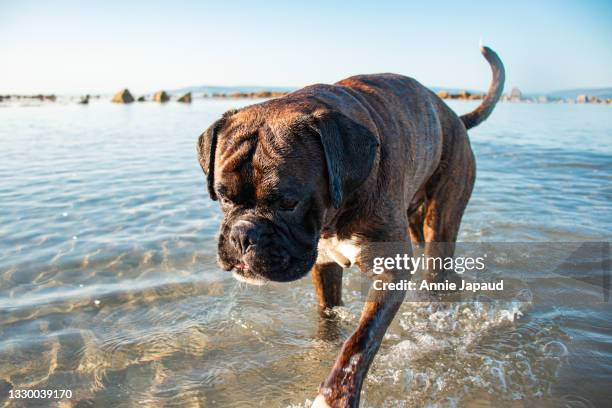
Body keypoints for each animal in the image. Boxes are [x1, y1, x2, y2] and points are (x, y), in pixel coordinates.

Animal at [198, 46, 504, 406]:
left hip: (440, 223)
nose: (243, 234)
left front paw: (333, 397)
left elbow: (360, 341)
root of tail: (455, 117)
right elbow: (328, 318)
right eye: (223, 197)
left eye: (288, 203)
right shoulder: (324, 266)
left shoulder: (391, 272)